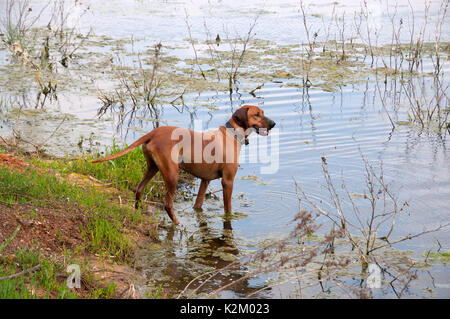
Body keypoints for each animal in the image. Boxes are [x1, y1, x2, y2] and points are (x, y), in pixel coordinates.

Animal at [91, 105, 274, 225]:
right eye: (257, 115)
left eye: (263, 113)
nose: (273, 124)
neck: (231, 134)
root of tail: (153, 132)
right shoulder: (227, 182)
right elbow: (227, 209)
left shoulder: (204, 181)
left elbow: (198, 204)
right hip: (172, 175)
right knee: (167, 204)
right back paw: (177, 223)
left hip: (152, 168)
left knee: (138, 189)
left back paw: (138, 213)